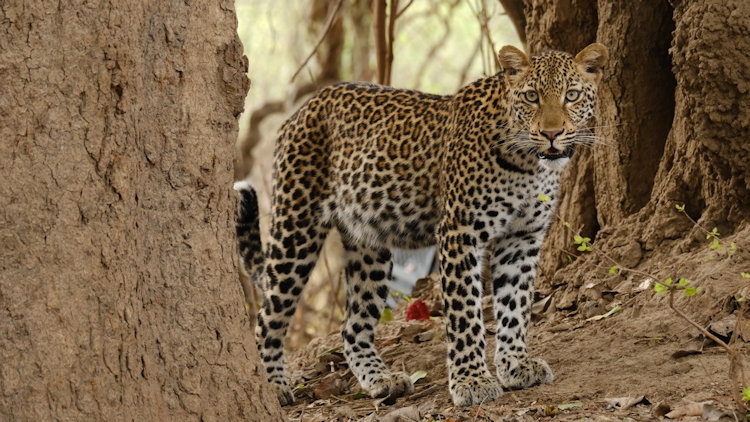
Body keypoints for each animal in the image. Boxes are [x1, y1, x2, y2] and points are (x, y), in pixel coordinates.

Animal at [234, 43, 608, 407]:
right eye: (532, 96)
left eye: (572, 95)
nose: (551, 133)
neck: (530, 164)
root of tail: (301, 110)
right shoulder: (460, 231)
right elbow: (465, 312)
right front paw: (472, 381)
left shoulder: (522, 237)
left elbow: (515, 307)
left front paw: (516, 365)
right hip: (296, 230)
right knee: (268, 319)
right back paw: (273, 387)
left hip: (369, 245)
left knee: (352, 327)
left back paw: (382, 380)